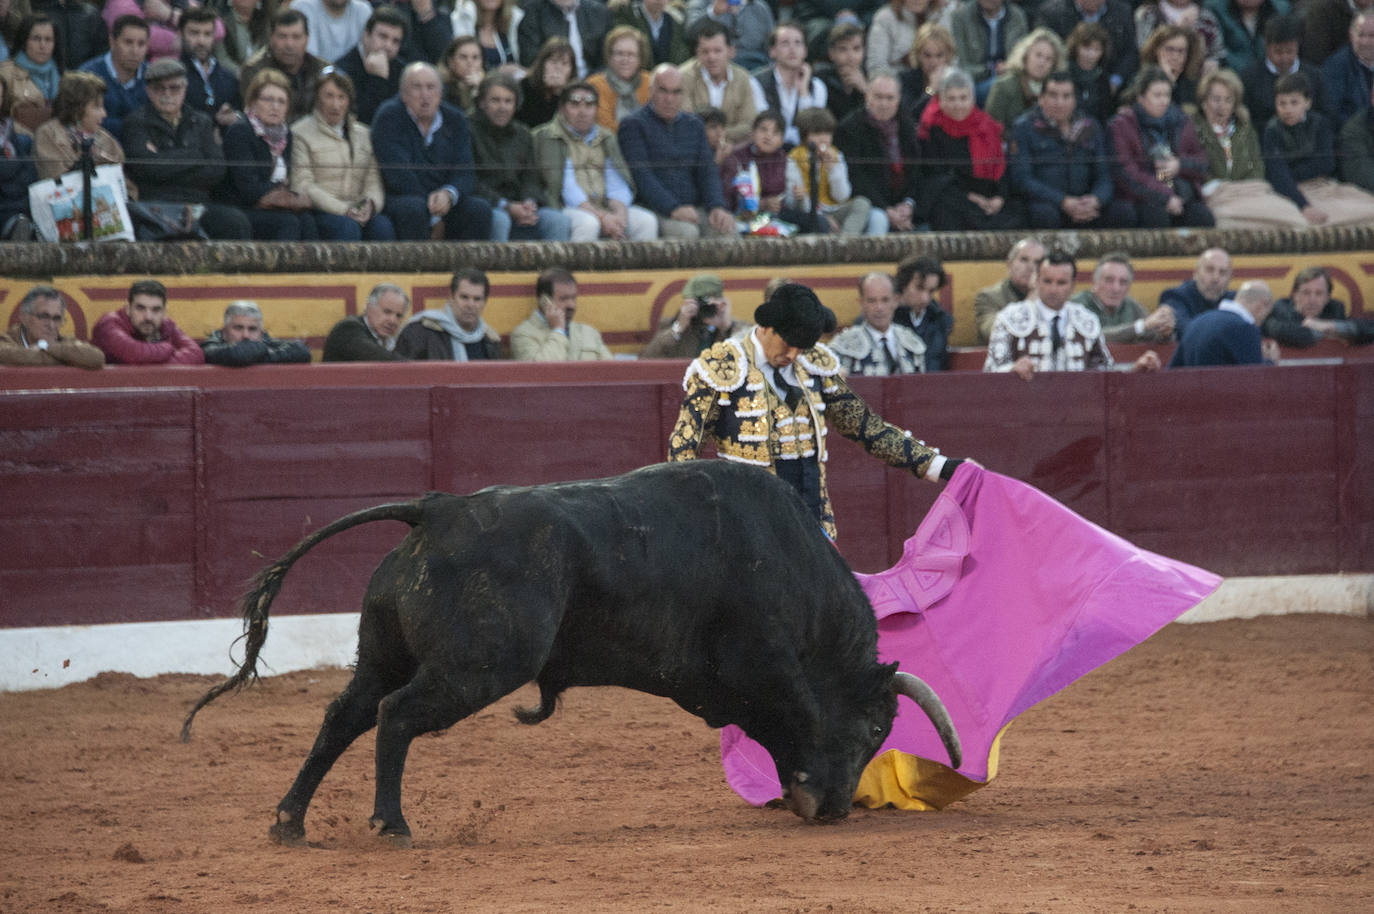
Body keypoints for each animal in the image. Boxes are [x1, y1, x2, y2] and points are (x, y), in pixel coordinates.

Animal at [182, 459, 961, 846]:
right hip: (477, 668)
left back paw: (289, 822)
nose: (834, 811)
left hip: (382, 653)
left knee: (346, 715)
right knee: (396, 715)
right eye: (870, 729)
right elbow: (791, 709)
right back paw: (391, 824)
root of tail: (438, 510)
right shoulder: (765, 661)